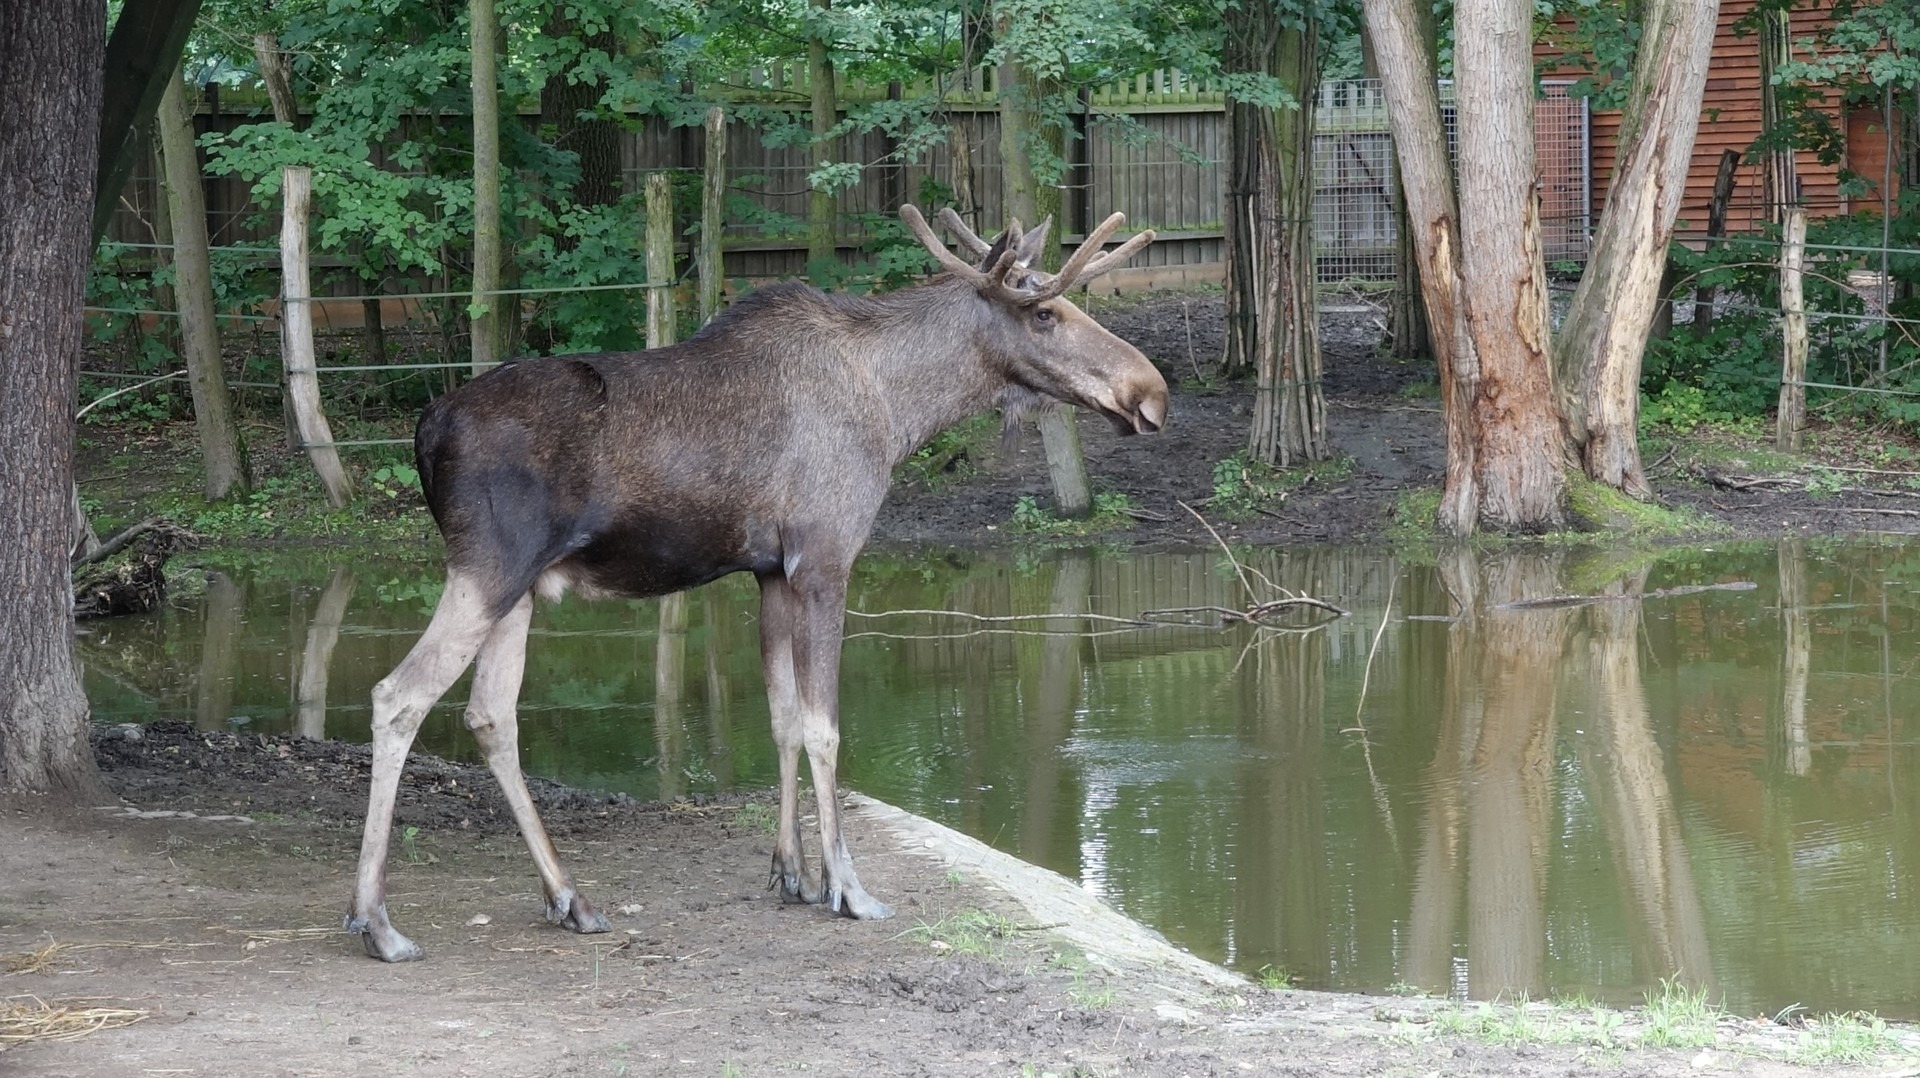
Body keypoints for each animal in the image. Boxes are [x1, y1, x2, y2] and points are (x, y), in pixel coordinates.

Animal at [345, 201, 1159, 956]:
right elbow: (826, 727)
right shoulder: (826, 559)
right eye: (1046, 312)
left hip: (518, 590)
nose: (1151, 391)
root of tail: (424, 432)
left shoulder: (770, 571)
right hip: (488, 567)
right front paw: (846, 886)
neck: (899, 412)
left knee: (490, 715)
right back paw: (377, 921)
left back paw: (569, 897)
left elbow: (782, 718)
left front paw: (791, 872)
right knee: (398, 696)